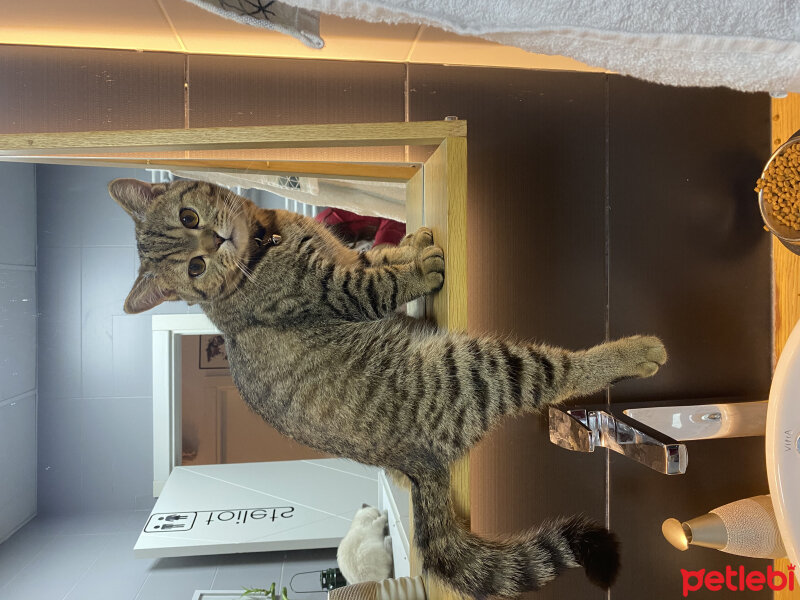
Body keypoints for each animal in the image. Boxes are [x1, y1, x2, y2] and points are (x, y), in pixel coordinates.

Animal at [109, 179, 664, 600]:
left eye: (189, 217)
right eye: (195, 268)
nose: (216, 243)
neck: (264, 244)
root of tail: (415, 464)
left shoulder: (345, 256)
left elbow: (378, 255)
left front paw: (410, 246)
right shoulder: (342, 291)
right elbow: (383, 281)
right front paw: (421, 266)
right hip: (476, 368)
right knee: (558, 374)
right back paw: (633, 352)